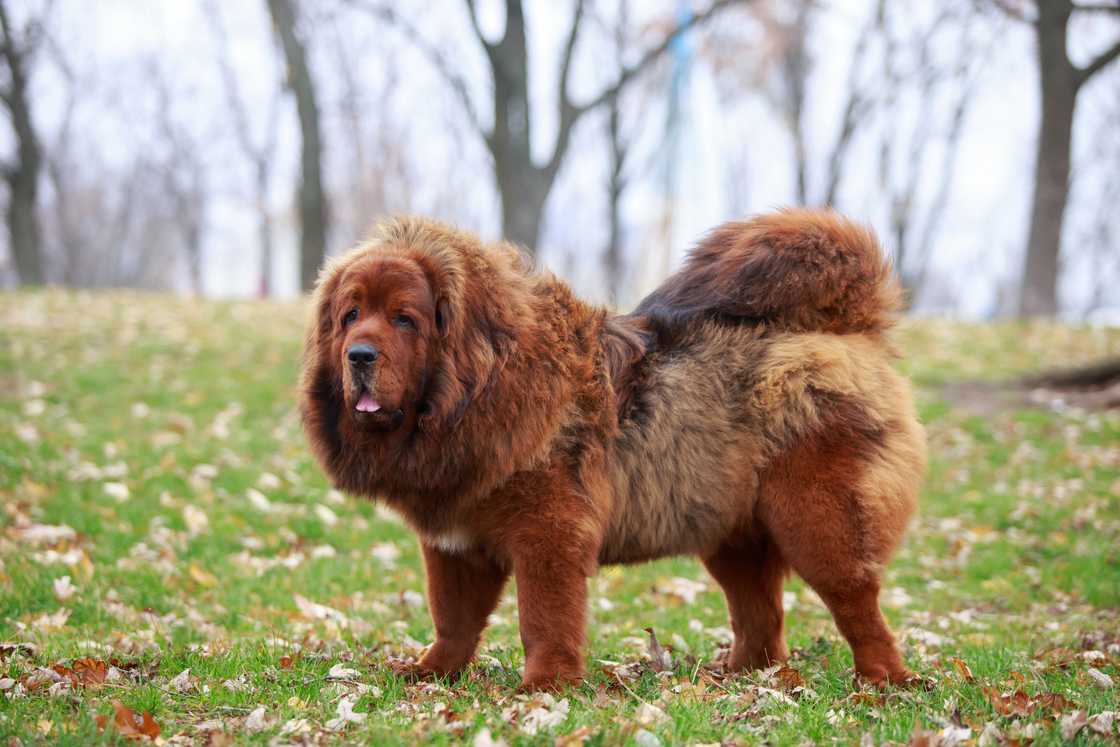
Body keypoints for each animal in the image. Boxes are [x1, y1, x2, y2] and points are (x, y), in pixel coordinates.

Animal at [300, 207, 927, 694]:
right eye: (350, 315)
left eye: (404, 319)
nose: (359, 355)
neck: (477, 391)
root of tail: (848, 330)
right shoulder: (454, 543)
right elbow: (452, 619)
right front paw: (430, 673)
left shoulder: (547, 533)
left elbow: (544, 617)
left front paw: (545, 686)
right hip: (731, 533)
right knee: (762, 619)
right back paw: (740, 677)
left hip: (817, 521)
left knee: (856, 604)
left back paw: (883, 682)